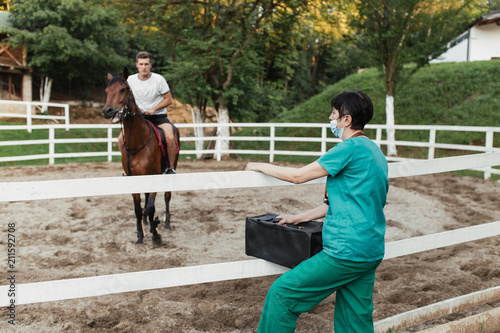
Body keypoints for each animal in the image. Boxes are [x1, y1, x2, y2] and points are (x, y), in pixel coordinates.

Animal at [101, 67, 180, 244]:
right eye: (107, 91)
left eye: (123, 89)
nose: (107, 111)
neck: (138, 143)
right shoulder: (134, 178)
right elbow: (138, 209)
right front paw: (140, 235)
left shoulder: (154, 176)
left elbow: (151, 207)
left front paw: (155, 234)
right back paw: (145, 221)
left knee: (167, 196)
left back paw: (167, 224)